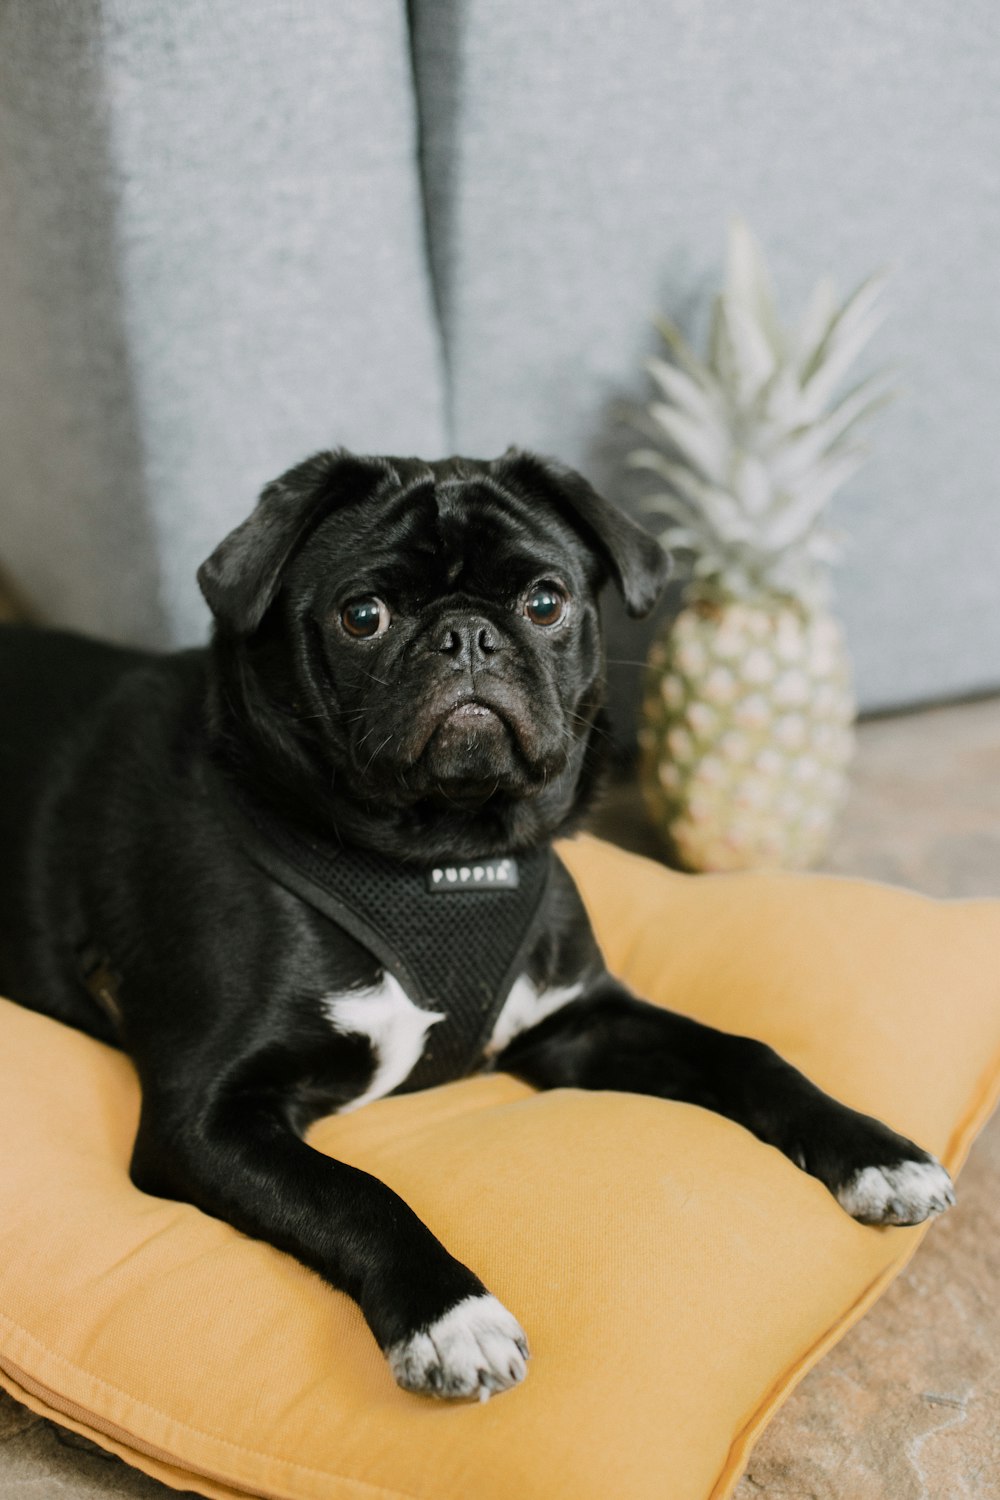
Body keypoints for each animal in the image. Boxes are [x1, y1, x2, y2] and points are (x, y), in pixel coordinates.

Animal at [0, 441, 953, 1392]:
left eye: (545, 602)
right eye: (362, 615)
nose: (466, 634)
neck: (441, 857)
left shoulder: (578, 1022)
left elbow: (745, 1052)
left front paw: (873, 1150)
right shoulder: (205, 1117)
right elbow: (356, 1192)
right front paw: (450, 1313)